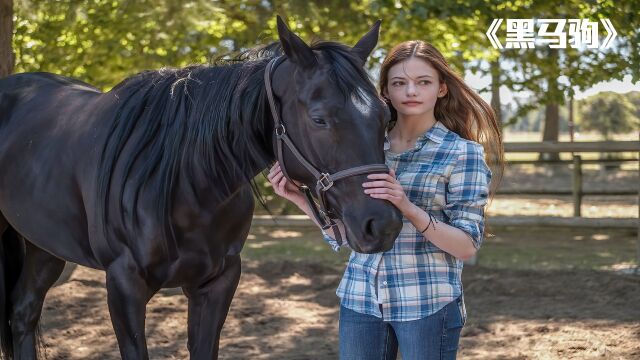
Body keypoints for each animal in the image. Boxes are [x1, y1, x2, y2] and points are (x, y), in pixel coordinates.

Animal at [0, 17, 400, 360]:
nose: (382, 225)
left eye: (386, 116)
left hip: (45, 247)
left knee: (22, 313)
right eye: (319, 119)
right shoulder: (124, 285)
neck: (185, 183)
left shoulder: (217, 282)